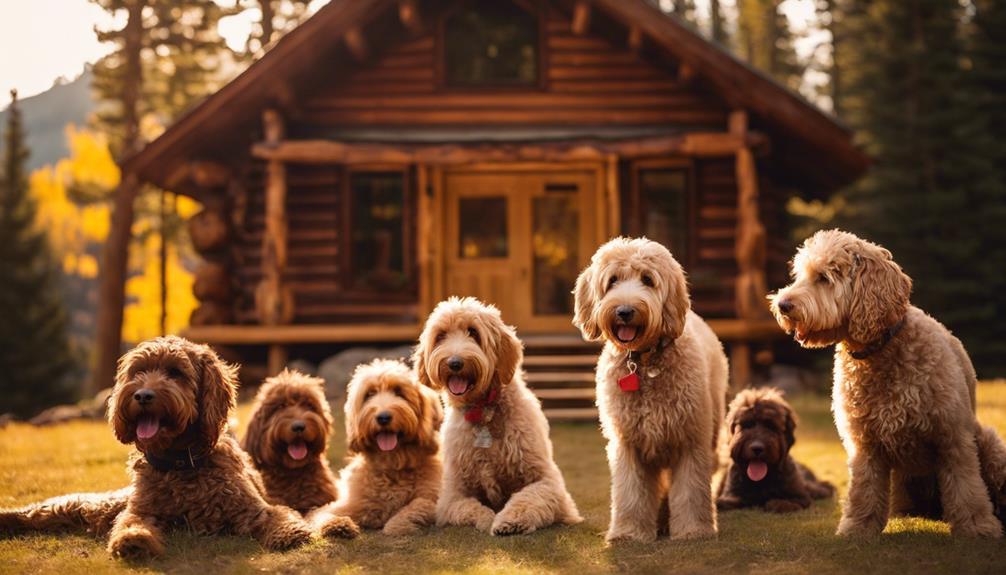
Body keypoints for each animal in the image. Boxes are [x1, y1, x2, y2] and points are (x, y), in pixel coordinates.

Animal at [101, 337, 313, 558]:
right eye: (138, 371)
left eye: (175, 372)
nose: (143, 395)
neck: (180, 463)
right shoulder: (143, 510)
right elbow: (131, 520)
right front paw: (134, 539)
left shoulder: (251, 509)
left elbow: (274, 515)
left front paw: (289, 532)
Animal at [239, 367, 358, 538]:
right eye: (280, 406)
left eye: (308, 405)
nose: (299, 426)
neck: (293, 472)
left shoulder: (318, 502)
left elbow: (322, 514)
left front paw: (338, 523)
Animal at [410, 299, 583, 538]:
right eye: (441, 335)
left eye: (473, 332)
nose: (455, 362)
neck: (484, 412)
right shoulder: (452, 494)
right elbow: (468, 507)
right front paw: (487, 518)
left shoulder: (548, 481)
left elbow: (529, 497)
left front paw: (510, 520)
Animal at [575, 236, 732, 542]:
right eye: (612, 280)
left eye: (647, 279)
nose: (624, 311)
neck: (644, 363)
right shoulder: (628, 443)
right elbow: (631, 492)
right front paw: (629, 531)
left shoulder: (691, 440)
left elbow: (691, 490)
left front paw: (694, 530)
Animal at [768, 230, 1006, 538]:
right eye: (799, 275)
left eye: (823, 277)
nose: (782, 305)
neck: (879, 351)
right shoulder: (864, 445)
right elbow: (864, 490)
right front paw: (858, 527)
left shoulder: (953, 438)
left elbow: (966, 487)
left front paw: (977, 528)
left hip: (988, 444)